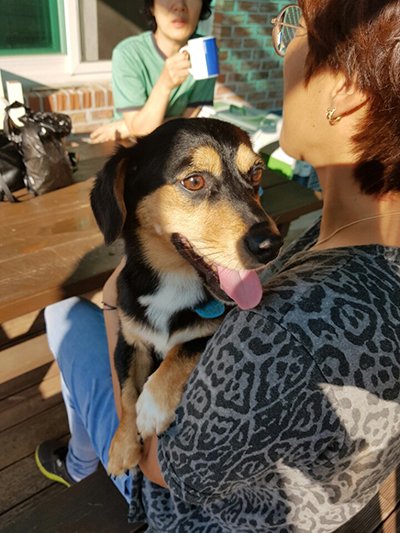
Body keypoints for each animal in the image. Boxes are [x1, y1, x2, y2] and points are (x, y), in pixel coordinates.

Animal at [90, 118, 283, 476]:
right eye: (194, 181)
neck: (173, 280)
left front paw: (152, 406)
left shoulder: (217, 327)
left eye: (256, 173)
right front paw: (122, 446)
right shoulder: (129, 339)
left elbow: (182, 348)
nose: (270, 246)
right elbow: (126, 392)